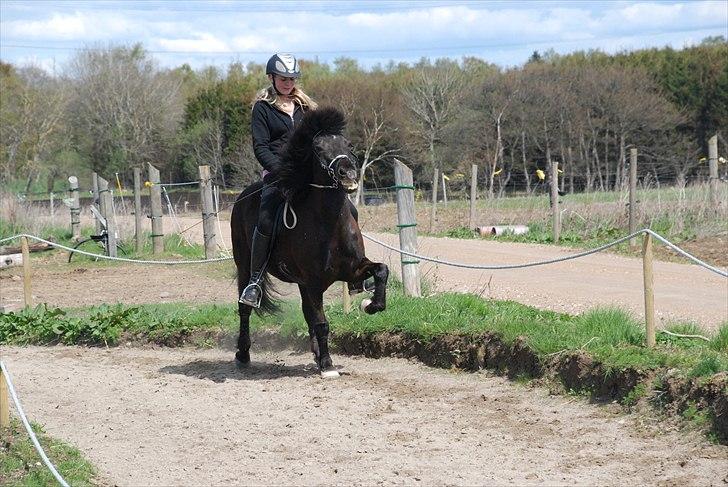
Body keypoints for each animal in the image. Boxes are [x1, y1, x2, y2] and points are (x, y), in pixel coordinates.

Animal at [230, 107, 390, 378]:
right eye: (317, 148)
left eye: (348, 144)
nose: (348, 174)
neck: (330, 224)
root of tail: (242, 197)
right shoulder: (314, 282)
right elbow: (322, 323)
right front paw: (327, 364)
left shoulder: (352, 270)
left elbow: (381, 270)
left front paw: (371, 305)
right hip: (245, 266)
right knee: (245, 308)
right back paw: (243, 354)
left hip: (302, 282)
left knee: (306, 314)